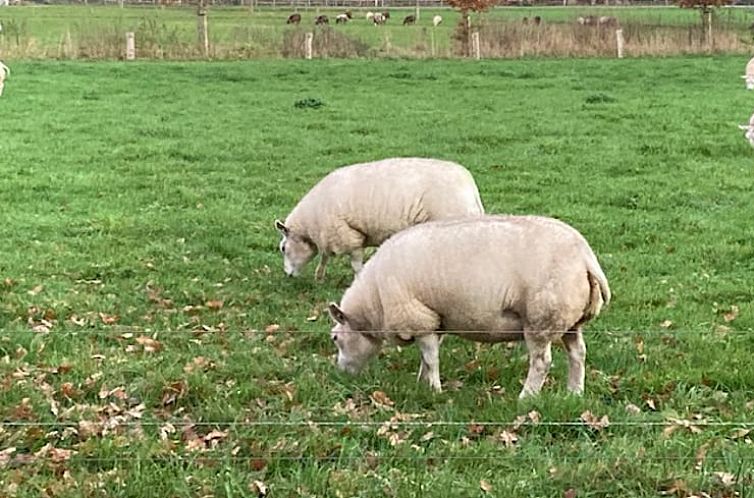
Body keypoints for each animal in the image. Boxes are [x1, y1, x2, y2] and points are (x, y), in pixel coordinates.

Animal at [274, 157, 482, 280]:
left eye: (283, 248)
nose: (287, 275)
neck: (311, 223)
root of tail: (470, 186)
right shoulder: (330, 235)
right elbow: (325, 256)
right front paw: (319, 276)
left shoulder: (348, 235)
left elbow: (356, 264)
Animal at [326, 214, 608, 396]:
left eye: (335, 338)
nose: (340, 373)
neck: (373, 301)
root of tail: (585, 257)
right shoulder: (435, 319)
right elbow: (427, 357)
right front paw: (422, 382)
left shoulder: (418, 317)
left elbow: (431, 358)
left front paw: (434, 390)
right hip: (570, 319)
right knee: (578, 354)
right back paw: (574, 392)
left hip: (541, 318)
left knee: (541, 362)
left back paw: (526, 397)